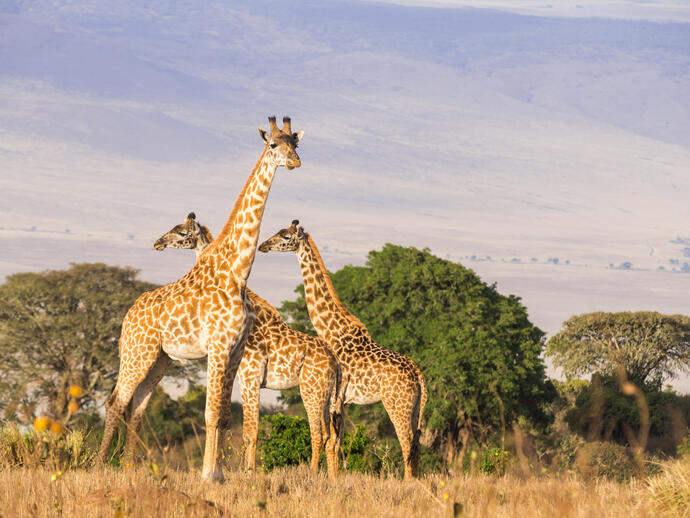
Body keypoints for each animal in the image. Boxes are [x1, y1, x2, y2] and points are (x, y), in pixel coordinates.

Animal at [98, 118, 302, 484]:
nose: (295, 162)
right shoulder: (217, 347)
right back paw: (95, 466)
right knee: (115, 402)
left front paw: (219, 473)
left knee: (136, 406)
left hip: (160, 359)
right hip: (136, 352)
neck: (238, 273)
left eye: (296, 143)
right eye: (273, 145)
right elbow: (208, 413)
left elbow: (222, 416)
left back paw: (129, 470)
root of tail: (128, 315)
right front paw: (207, 475)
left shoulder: (235, 351)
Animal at [152, 214, 342, 480]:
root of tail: (336, 363)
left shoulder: (250, 376)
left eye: (181, 233)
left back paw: (312, 473)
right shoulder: (241, 376)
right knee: (332, 435)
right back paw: (332, 477)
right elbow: (236, 426)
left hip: (311, 390)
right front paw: (237, 470)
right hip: (328, 395)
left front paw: (248, 473)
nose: (158, 243)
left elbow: (251, 430)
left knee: (319, 432)